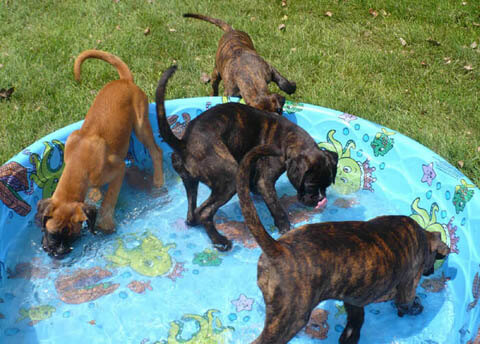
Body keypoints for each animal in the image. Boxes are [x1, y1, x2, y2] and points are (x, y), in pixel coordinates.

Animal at [34, 49, 164, 258]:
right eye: (52, 234)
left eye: (73, 238)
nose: (59, 252)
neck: (78, 163)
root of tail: (125, 80)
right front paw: (94, 195)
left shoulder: (119, 169)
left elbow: (110, 198)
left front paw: (105, 222)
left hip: (141, 125)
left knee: (156, 151)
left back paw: (158, 179)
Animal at [158, 66, 338, 251]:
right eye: (310, 186)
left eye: (327, 185)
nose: (320, 199)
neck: (290, 139)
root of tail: (184, 144)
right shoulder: (265, 180)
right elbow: (275, 205)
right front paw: (284, 227)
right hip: (229, 180)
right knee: (205, 212)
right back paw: (220, 241)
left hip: (190, 181)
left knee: (192, 210)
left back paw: (195, 223)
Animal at [235, 144, 450, 342]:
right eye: (434, 261)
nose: (431, 271)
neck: (421, 236)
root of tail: (279, 249)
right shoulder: (408, 286)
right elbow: (406, 302)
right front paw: (416, 307)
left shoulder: (354, 299)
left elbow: (356, 320)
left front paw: (349, 336)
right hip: (290, 320)